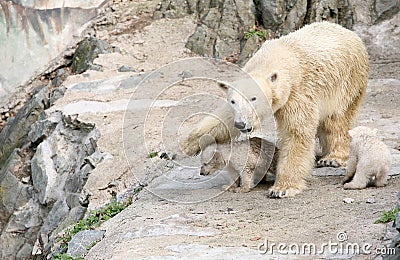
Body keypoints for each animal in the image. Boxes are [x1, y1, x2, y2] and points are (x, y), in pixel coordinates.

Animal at [182, 21, 368, 197]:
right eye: (233, 101)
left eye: (254, 98)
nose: (241, 124)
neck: (274, 60)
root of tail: (349, 32)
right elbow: (223, 119)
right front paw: (183, 147)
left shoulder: (297, 93)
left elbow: (296, 133)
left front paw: (281, 188)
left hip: (347, 81)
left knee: (337, 120)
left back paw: (332, 157)